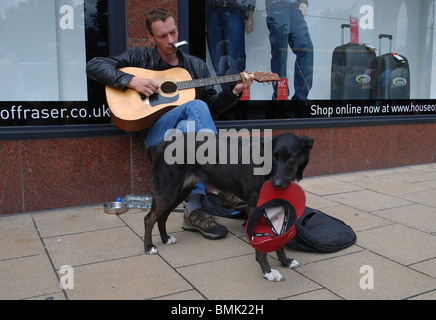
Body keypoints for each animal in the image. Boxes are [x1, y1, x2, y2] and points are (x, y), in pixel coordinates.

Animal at [144, 131, 314, 282]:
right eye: (274, 156)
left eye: (291, 157)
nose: (276, 184)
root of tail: (163, 143)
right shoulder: (254, 209)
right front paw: (268, 272)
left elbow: (279, 239)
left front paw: (285, 262)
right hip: (168, 192)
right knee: (149, 219)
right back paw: (149, 247)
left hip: (179, 192)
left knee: (162, 217)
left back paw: (165, 239)